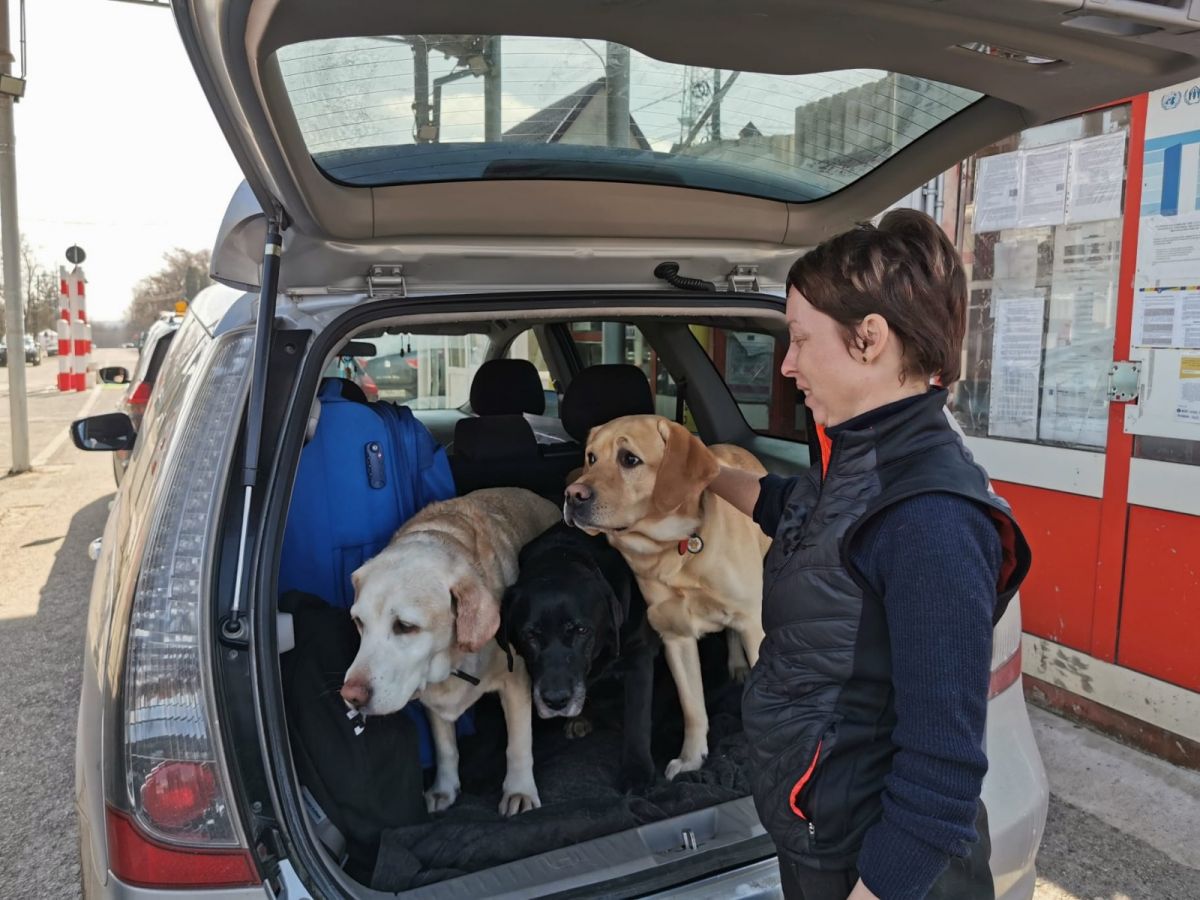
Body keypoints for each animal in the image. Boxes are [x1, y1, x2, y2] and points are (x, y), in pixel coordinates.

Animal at [340, 487, 560, 817]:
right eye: (358, 622)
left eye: (405, 626)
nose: (351, 695)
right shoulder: (433, 702)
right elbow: (446, 749)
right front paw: (444, 789)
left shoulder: (516, 680)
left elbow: (518, 743)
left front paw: (519, 790)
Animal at [499, 522, 661, 792]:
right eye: (530, 635)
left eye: (581, 630)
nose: (556, 701)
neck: (563, 555)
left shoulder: (639, 654)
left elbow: (637, 717)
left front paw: (637, 771)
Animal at [563, 415, 770, 779]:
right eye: (591, 458)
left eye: (629, 459)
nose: (572, 495)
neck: (676, 548)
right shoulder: (676, 637)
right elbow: (693, 708)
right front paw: (691, 759)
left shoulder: (752, 623)